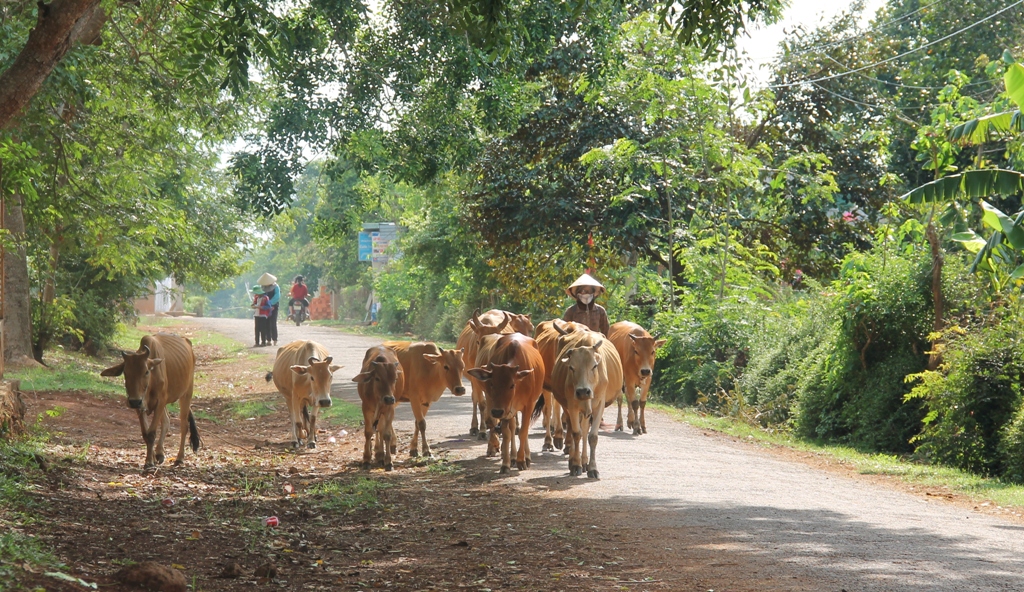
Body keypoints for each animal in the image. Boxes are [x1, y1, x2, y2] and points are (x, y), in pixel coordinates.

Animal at [100, 333, 200, 467]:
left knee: (184, 425)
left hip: (186, 394)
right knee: (167, 421)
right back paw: (159, 453)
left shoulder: (160, 402)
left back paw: (179, 458)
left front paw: (149, 462)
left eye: (146, 371)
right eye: (125, 373)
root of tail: (187, 342)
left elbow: (152, 433)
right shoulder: (140, 405)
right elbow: (146, 433)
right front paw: (150, 458)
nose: (134, 401)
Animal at [458, 309, 536, 438]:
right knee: (476, 399)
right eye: (478, 341)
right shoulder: (476, 379)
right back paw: (476, 427)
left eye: (531, 328)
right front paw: (482, 430)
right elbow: (482, 403)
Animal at [464, 331, 544, 475]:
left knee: (523, 430)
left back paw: (526, 457)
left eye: (512, 385)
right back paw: (512, 457)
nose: (496, 412)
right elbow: (507, 434)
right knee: (511, 429)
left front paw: (521, 460)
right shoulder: (504, 409)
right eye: (491, 383)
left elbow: (523, 432)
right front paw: (506, 464)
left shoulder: (528, 405)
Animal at [552, 325, 622, 477]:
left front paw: (592, 468)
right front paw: (575, 465)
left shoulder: (599, 406)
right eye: (571, 367)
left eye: (594, 366)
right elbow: (576, 434)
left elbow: (592, 437)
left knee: (585, 430)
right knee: (575, 429)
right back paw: (575, 460)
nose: (583, 391)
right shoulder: (572, 406)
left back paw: (585, 462)